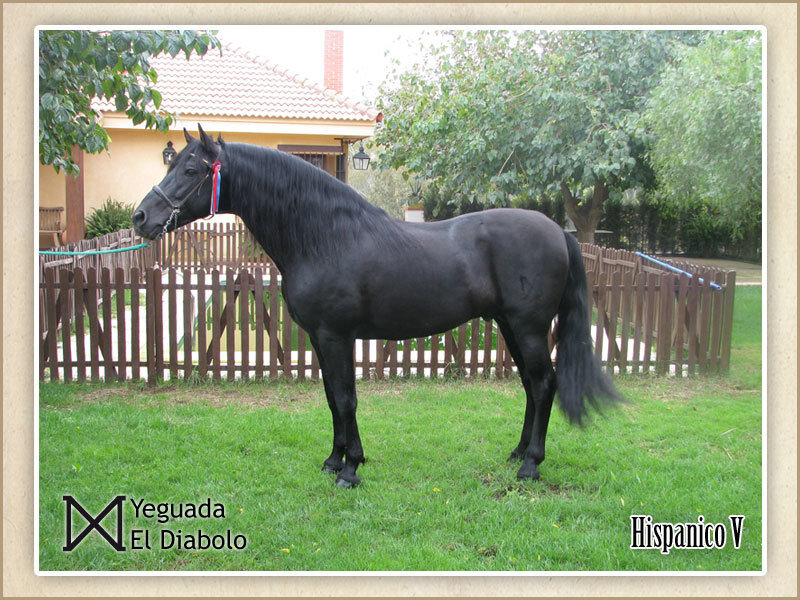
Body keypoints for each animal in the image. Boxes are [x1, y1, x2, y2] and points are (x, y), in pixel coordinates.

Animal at [133, 125, 622, 488]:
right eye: (172, 162)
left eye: (191, 168)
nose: (141, 217)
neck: (325, 237)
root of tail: (558, 232)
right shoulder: (319, 338)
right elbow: (332, 398)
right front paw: (335, 460)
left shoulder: (336, 336)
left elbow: (346, 398)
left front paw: (350, 469)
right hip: (509, 325)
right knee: (530, 386)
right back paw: (518, 452)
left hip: (529, 327)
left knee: (544, 384)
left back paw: (531, 465)